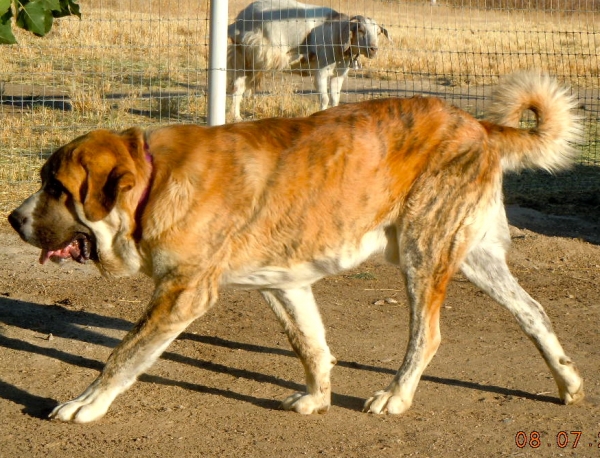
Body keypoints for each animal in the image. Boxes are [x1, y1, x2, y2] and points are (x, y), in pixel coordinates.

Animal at [7, 72, 584, 426]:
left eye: (56, 188)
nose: (13, 219)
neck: (154, 181)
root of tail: (477, 124)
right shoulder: (285, 285)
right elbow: (310, 344)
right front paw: (318, 398)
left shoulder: (181, 295)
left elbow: (122, 356)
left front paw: (85, 404)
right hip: (475, 258)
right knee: (533, 312)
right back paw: (569, 383)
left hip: (423, 252)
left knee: (429, 334)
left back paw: (397, 395)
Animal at [227, 0, 392, 121]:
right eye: (361, 30)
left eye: (378, 32)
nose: (373, 49)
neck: (336, 33)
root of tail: (238, 21)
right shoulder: (321, 71)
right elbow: (324, 99)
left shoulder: (338, 74)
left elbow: (335, 99)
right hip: (248, 55)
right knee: (237, 87)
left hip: (246, 60)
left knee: (238, 88)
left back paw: (237, 117)